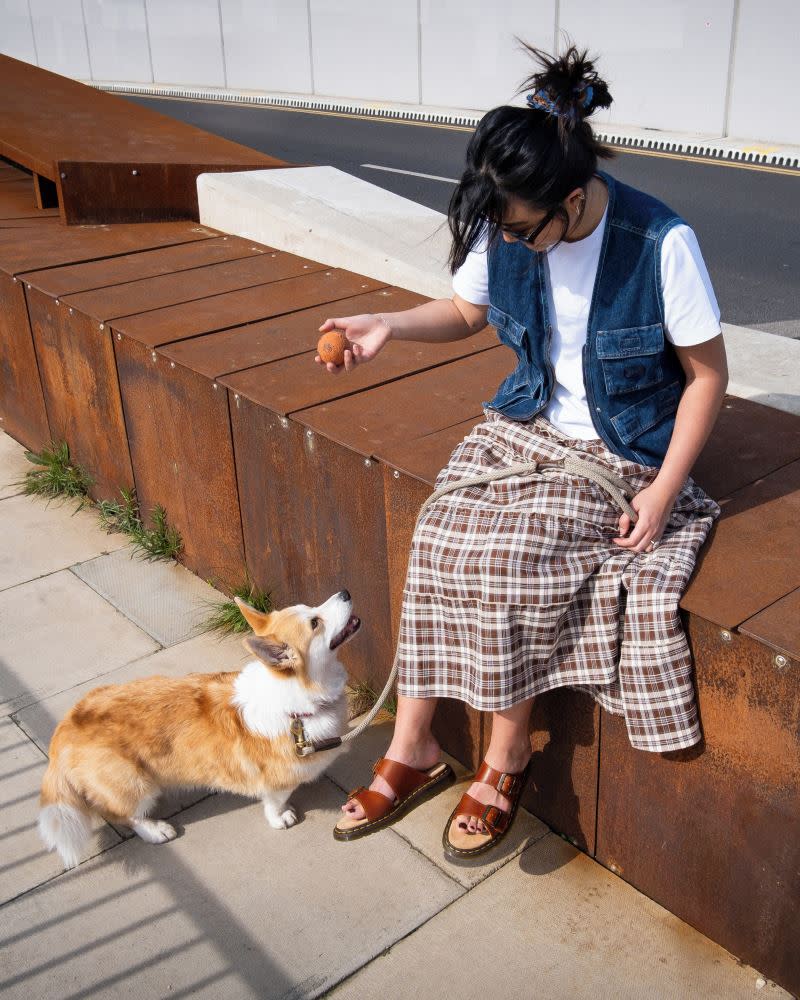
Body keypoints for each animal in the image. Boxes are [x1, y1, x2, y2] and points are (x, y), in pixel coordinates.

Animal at [39, 588, 360, 864]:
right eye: (315, 623)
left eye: (311, 607)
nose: (346, 592)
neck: (296, 698)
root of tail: (63, 732)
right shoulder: (277, 781)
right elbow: (275, 801)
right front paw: (282, 819)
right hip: (136, 784)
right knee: (128, 815)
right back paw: (157, 830)